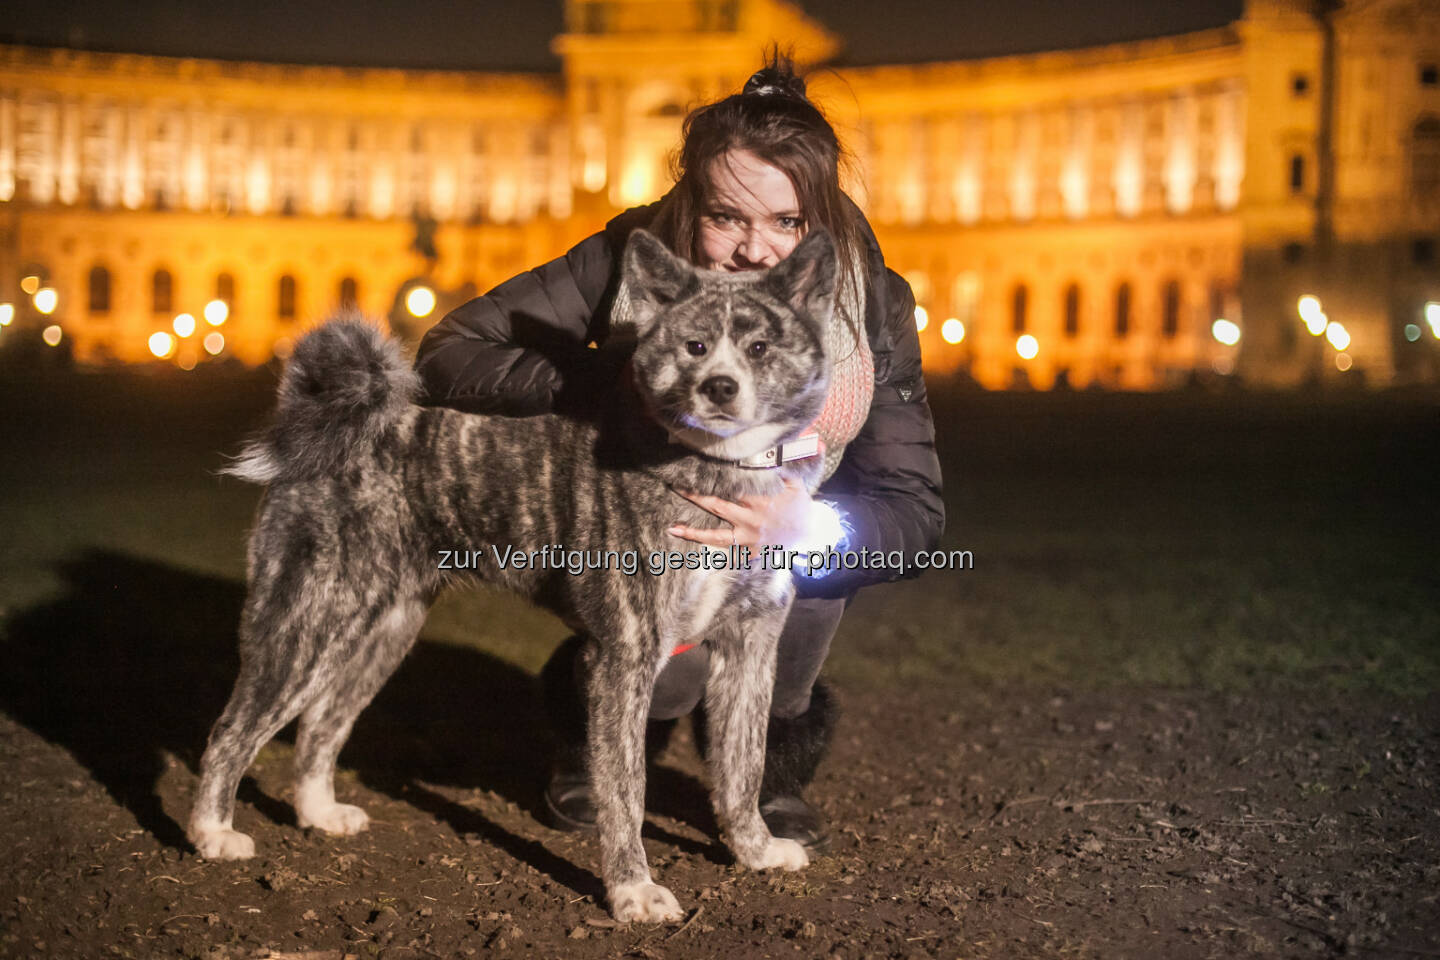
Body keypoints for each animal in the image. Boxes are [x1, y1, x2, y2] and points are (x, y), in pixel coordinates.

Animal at [185, 227, 840, 921]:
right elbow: (626, 792)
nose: (718, 386)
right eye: (694, 346)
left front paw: (755, 851)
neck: (717, 472)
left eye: (758, 347)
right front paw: (633, 892)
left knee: (322, 724)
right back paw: (212, 833)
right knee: (233, 731)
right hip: (306, 625)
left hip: (380, 631)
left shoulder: (751, 647)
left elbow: (743, 767)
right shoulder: (626, 656)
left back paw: (317, 812)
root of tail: (341, 425)